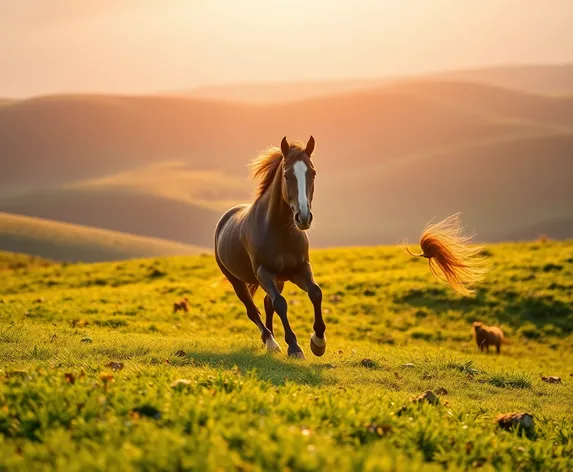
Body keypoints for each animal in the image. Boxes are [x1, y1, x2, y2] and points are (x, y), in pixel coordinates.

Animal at [214, 136, 322, 358]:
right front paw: (294, 347)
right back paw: (270, 341)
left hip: (278, 280)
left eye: (313, 173)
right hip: (237, 281)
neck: (279, 231)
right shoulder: (263, 273)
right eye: (287, 175)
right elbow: (281, 304)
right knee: (252, 309)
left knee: (267, 303)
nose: (303, 218)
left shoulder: (300, 269)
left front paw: (318, 342)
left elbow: (315, 293)